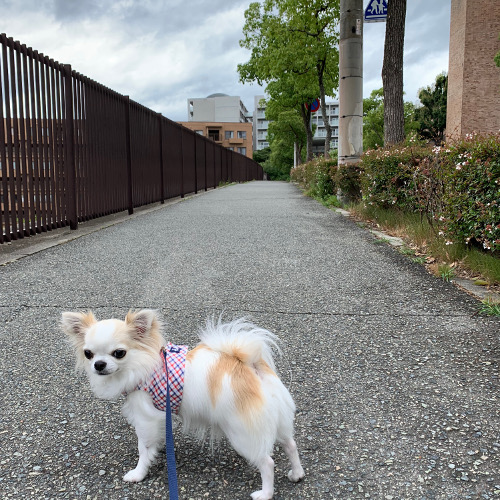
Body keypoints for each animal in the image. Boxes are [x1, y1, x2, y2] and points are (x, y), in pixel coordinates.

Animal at [62, 310, 304, 498]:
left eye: (119, 353)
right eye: (88, 353)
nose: (99, 364)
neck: (142, 364)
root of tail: (250, 365)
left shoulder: (145, 418)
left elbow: (143, 448)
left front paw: (138, 473)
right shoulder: (158, 418)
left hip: (241, 433)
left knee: (268, 463)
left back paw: (265, 493)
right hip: (278, 420)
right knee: (290, 445)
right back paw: (297, 474)